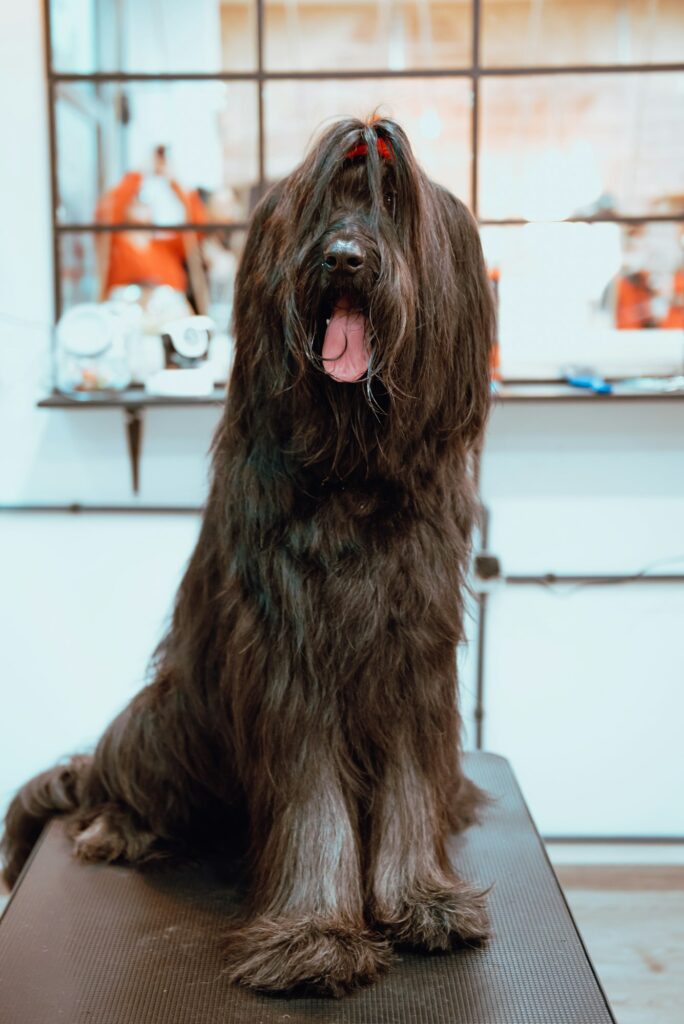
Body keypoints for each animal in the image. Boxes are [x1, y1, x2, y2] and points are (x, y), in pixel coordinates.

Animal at [1, 116, 491, 995]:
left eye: (393, 206)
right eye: (318, 208)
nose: (344, 258)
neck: (352, 468)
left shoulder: (413, 654)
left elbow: (408, 784)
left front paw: (421, 900)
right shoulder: (289, 654)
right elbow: (315, 802)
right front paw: (315, 935)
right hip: (168, 715)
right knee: (115, 774)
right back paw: (114, 822)